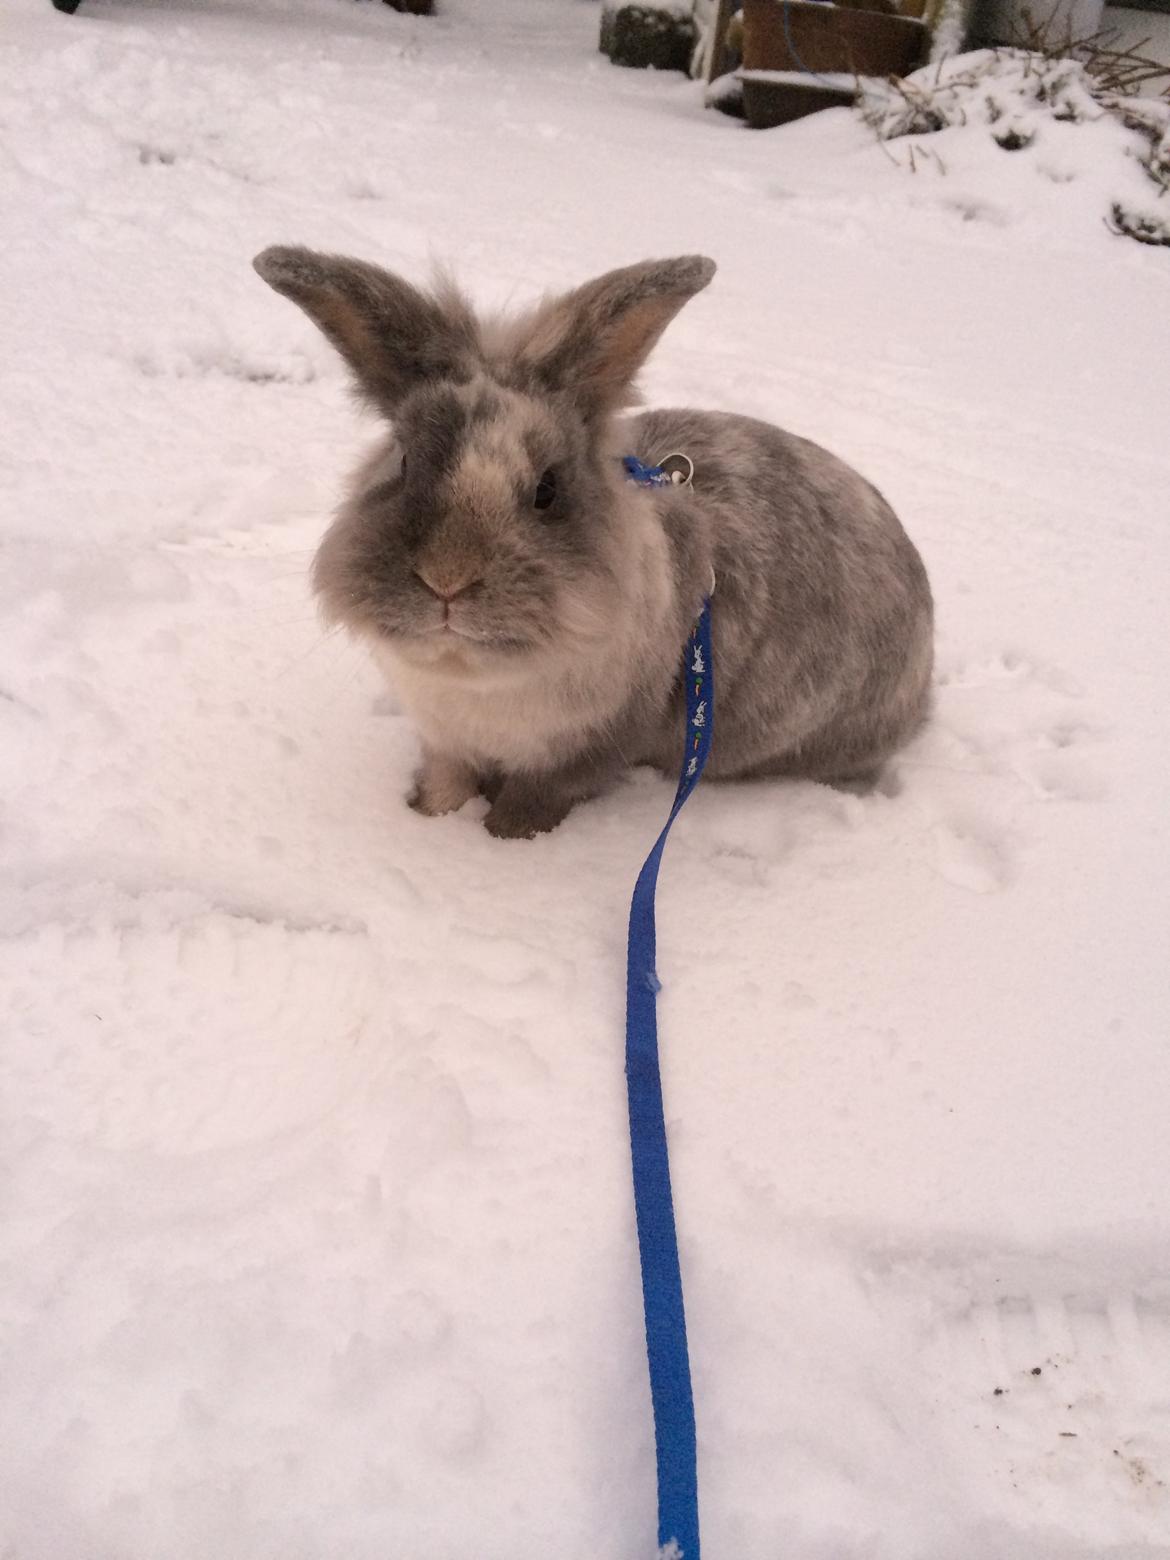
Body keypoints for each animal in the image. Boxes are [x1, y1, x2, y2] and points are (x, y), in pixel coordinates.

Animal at [254, 249, 935, 842]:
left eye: (548, 490)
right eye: (402, 463)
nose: (447, 578)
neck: (476, 678)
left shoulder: (581, 756)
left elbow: (529, 806)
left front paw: (497, 842)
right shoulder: (446, 744)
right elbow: (447, 785)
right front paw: (428, 818)